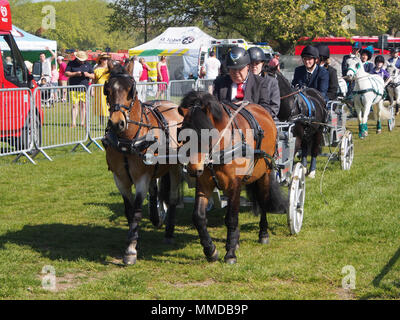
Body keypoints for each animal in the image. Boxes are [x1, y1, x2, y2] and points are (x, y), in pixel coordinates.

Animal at [103, 64, 184, 264]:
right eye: (107, 90)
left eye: (131, 90)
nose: (117, 123)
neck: (128, 141)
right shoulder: (120, 178)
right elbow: (129, 211)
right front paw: (134, 240)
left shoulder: (141, 178)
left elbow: (137, 210)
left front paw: (131, 251)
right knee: (155, 190)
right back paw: (155, 216)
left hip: (175, 168)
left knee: (171, 198)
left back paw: (169, 232)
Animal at [178, 90, 288, 264]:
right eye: (183, 136)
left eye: (207, 135)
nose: (193, 169)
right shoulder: (203, 185)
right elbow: (199, 217)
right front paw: (210, 250)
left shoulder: (234, 185)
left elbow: (231, 218)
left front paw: (230, 253)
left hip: (264, 174)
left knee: (263, 202)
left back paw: (263, 233)